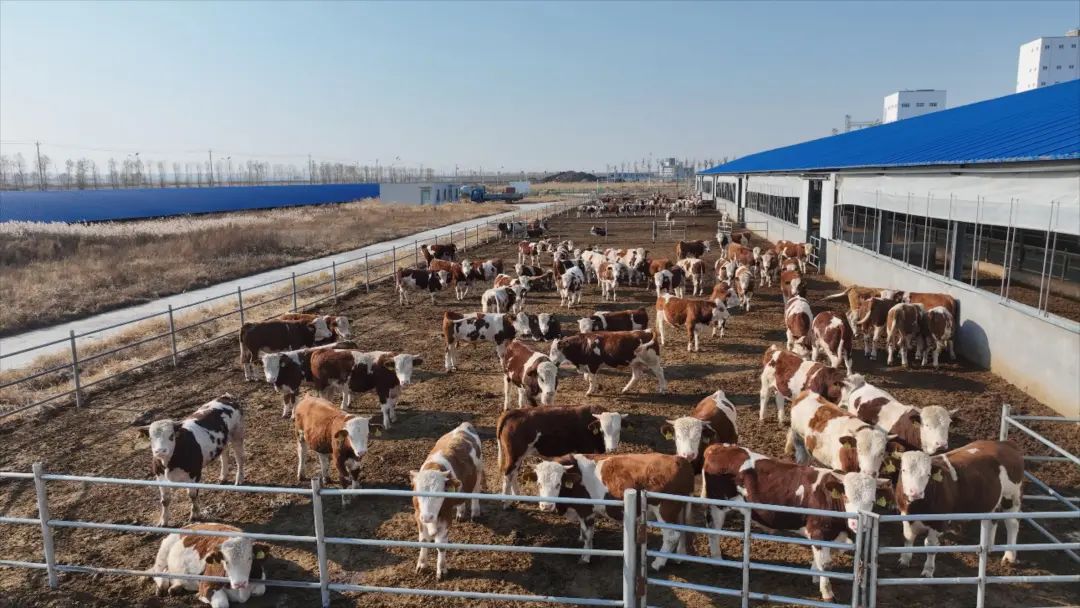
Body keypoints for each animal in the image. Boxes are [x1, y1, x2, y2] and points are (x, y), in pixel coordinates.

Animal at [410, 423, 483, 578]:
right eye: (418, 493)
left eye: (439, 494)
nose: (427, 517)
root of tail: (465, 425)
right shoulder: (418, 516)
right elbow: (423, 541)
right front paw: (422, 565)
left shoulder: (445, 517)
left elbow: (441, 545)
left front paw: (441, 569)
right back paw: (461, 513)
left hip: (479, 471)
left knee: (475, 492)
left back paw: (475, 512)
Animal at [494, 403, 626, 505]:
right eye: (602, 431)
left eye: (619, 430)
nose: (612, 449)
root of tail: (514, 412)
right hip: (514, 455)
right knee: (508, 474)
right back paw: (506, 502)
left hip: (519, 456)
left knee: (514, 474)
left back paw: (518, 497)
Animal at [529, 451, 691, 570]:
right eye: (538, 483)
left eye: (558, 484)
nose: (546, 506)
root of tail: (680, 460)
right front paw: (580, 538)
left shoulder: (586, 511)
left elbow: (588, 535)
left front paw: (585, 557)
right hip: (680, 509)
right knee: (682, 532)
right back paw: (679, 557)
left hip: (666, 510)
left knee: (672, 536)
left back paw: (658, 563)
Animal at [898, 440, 1023, 578]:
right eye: (903, 470)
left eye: (928, 474)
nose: (915, 492)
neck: (917, 507)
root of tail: (1005, 444)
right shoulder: (905, 514)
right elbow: (908, 537)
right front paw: (904, 560)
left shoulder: (939, 522)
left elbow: (930, 545)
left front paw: (928, 571)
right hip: (993, 502)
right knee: (992, 520)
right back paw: (988, 546)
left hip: (1011, 496)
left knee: (1012, 523)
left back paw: (1009, 556)